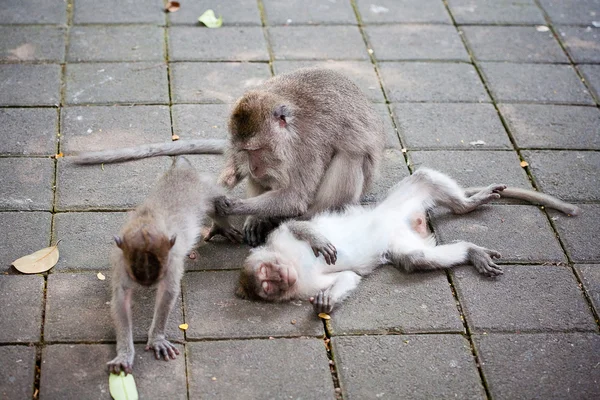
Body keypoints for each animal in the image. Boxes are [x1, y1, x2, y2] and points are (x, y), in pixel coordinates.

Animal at [108, 156, 241, 376]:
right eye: (138, 274)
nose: (147, 285)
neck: (148, 221)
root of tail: (181, 169)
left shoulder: (172, 260)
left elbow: (168, 291)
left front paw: (157, 338)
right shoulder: (121, 263)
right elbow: (121, 297)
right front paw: (124, 353)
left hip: (204, 189)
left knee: (216, 203)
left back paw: (221, 224)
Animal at [236, 167, 580, 314]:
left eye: (267, 273)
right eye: (266, 286)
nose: (280, 279)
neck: (293, 263)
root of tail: (411, 219)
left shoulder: (278, 241)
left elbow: (296, 224)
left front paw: (316, 239)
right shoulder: (305, 285)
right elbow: (346, 277)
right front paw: (327, 300)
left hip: (401, 200)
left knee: (424, 177)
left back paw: (468, 205)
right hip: (404, 240)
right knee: (417, 258)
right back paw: (469, 250)